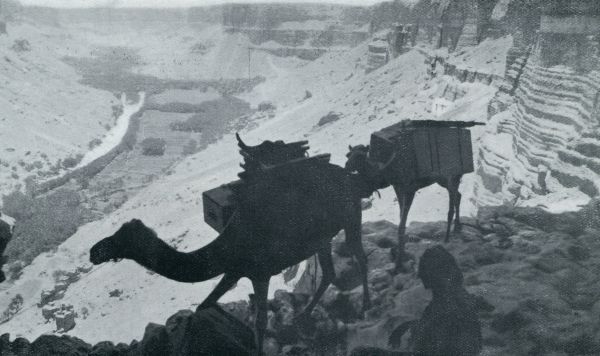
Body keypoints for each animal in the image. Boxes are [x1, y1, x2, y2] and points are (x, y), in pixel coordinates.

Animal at [90, 138, 380, 354]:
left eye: (123, 239)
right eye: (117, 232)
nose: (95, 252)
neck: (229, 244)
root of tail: (350, 175)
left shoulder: (261, 273)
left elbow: (260, 322)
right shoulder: (233, 271)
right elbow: (205, 305)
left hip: (351, 216)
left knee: (359, 255)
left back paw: (365, 304)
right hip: (322, 238)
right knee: (328, 272)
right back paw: (303, 316)